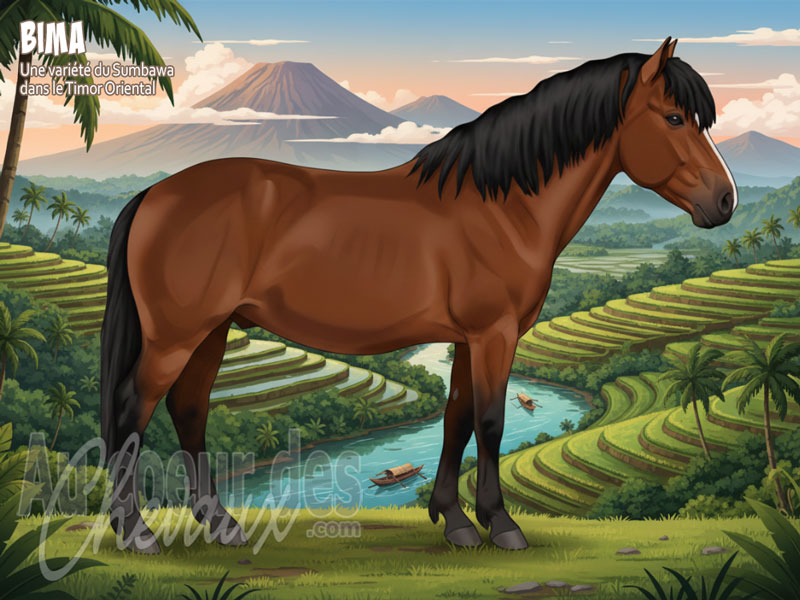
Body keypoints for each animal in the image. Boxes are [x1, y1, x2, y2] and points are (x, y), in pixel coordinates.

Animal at [100, 37, 737, 554]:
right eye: (674, 117)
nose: (725, 200)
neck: (502, 207)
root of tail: (155, 193)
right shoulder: (494, 334)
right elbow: (490, 421)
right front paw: (502, 525)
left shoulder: (467, 339)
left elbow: (456, 419)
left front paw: (455, 521)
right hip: (175, 336)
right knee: (134, 410)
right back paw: (137, 533)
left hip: (212, 330)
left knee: (189, 411)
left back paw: (221, 525)